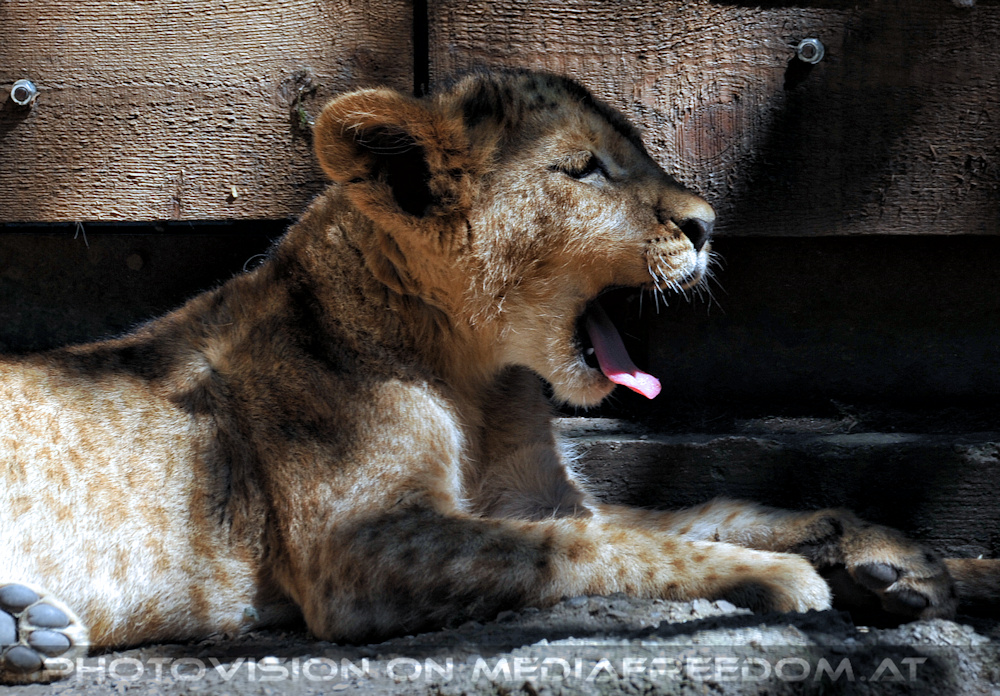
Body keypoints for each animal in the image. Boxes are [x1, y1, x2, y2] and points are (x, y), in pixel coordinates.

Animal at [1, 68, 997, 683]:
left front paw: (901, 559)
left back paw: (27, 631)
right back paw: (27, 634)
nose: (709, 224)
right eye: (586, 170)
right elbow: (594, 552)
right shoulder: (361, 550)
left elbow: (704, 509)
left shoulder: (542, 499)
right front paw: (773, 577)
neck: (478, 376)